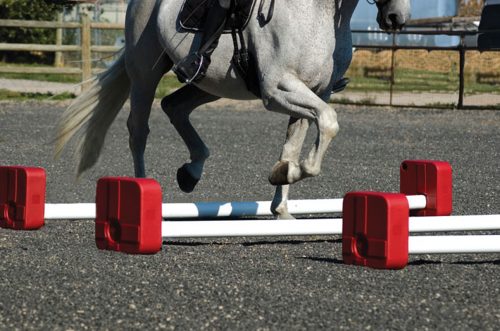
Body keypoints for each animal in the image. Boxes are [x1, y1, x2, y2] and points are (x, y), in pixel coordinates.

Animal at [56, 0, 412, 220]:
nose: (397, 18)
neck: (315, 12)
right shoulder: (277, 89)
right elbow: (328, 121)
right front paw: (287, 175)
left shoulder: (314, 92)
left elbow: (295, 145)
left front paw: (282, 200)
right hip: (145, 72)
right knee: (138, 130)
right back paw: (145, 193)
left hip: (208, 84)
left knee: (174, 106)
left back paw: (192, 170)